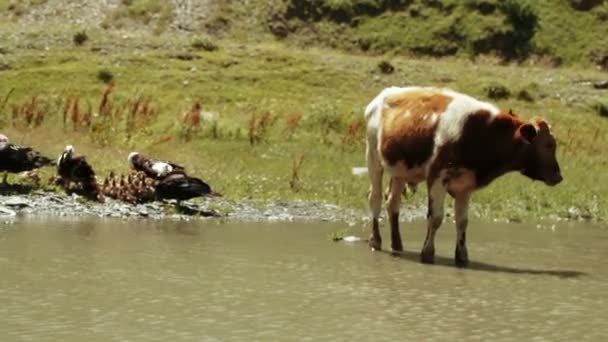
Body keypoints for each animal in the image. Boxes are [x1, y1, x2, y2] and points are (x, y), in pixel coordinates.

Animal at [364, 86, 564, 268]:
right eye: (548, 144)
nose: (558, 176)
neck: (482, 132)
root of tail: (383, 95)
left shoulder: (465, 186)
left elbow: (462, 222)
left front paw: (462, 257)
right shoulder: (437, 177)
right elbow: (436, 217)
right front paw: (427, 253)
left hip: (399, 171)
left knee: (392, 203)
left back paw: (397, 244)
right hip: (373, 158)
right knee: (375, 199)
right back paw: (375, 241)